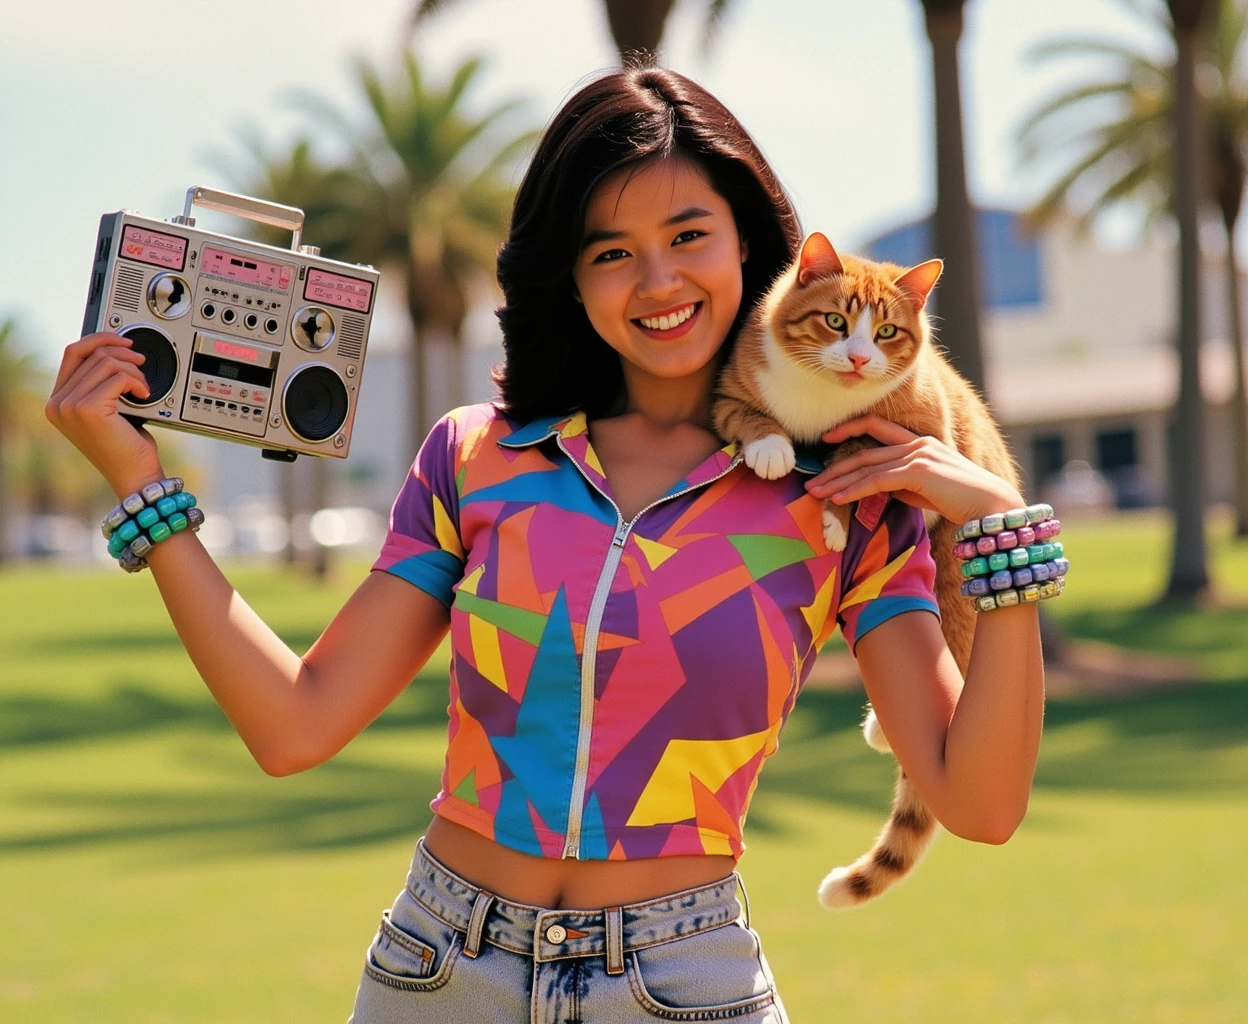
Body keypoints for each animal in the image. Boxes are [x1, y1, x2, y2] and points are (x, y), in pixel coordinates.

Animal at [718, 229, 1018, 903]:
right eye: (835, 321)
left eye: (885, 333)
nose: (858, 359)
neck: (824, 401)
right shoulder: (728, 393)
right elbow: (750, 417)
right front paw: (773, 449)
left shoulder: (916, 438)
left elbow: (855, 454)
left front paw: (834, 510)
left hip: (951, 567)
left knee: (957, 644)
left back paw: (884, 728)